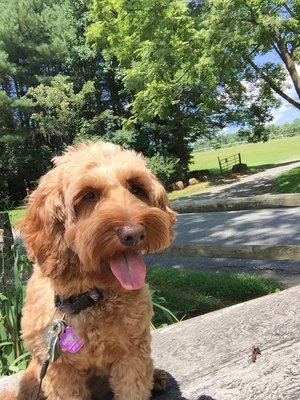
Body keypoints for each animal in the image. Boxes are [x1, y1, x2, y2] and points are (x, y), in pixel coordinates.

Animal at [12, 142, 176, 398]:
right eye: (88, 194)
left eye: (136, 187)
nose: (134, 234)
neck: (89, 297)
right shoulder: (59, 372)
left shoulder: (132, 352)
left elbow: (133, 388)